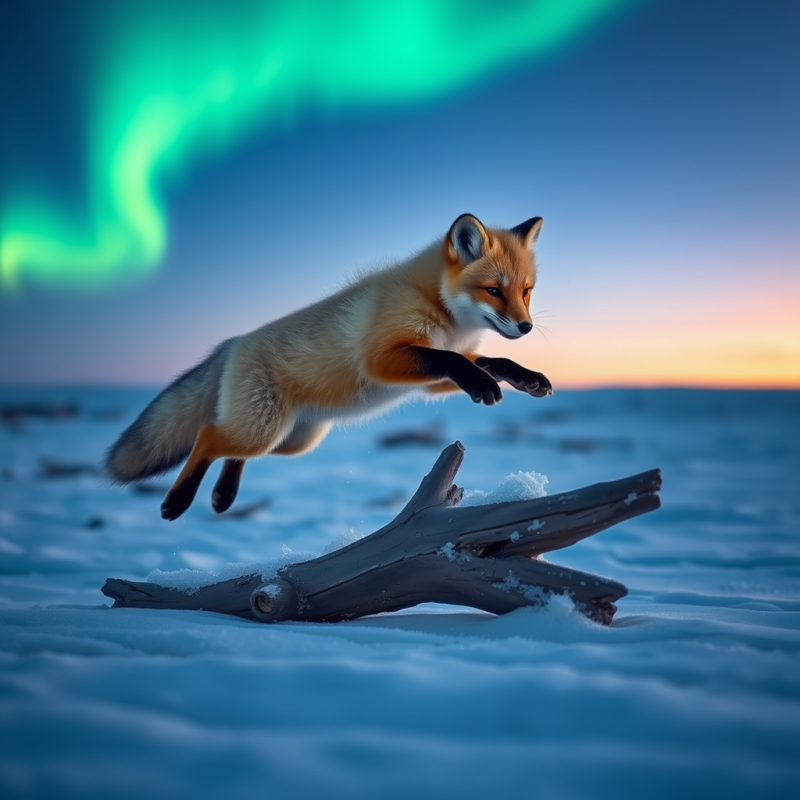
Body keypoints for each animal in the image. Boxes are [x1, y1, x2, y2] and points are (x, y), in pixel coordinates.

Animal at [105, 213, 553, 521]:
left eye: (526, 291)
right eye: (493, 290)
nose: (526, 327)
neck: (441, 309)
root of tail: (234, 343)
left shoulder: (429, 381)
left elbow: (490, 361)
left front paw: (526, 378)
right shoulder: (384, 357)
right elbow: (454, 360)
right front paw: (484, 385)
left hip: (292, 440)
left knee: (231, 451)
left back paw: (222, 496)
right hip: (263, 430)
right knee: (207, 436)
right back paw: (178, 502)